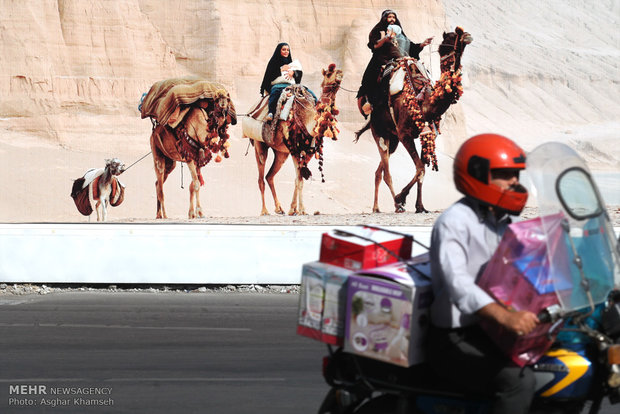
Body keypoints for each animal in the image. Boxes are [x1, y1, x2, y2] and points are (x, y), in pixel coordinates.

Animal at [141, 78, 237, 220]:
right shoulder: (189, 158)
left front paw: (192, 213)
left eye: (228, 98)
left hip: (170, 161)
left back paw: (158, 214)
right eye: (216, 99)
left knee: (158, 183)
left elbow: (193, 185)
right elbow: (196, 184)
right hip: (156, 152)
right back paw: (165, 215)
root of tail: (154, 132)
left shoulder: (198, 159)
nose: (224, 105)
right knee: (160, 185)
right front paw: (199, 212)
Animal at [242, 64, 344, 217]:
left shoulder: (307, 152)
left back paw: (279, 208)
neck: (306, 120)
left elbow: (298, 179)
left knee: (269, 176)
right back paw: (264, 211)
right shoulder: (295, 150)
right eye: (329, 73)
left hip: (281, 153)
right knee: (261, 178)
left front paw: (293, 209)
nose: (340, 73)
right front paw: (302, 210)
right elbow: (300, 180)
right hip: (260, 144)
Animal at [356, 26, 472, 213]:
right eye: (449, 39)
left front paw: (420, 206)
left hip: (393, 139)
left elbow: (422, 170)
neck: (425, 105)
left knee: (379, 171)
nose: (467, 36)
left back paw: (378, 207)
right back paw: (394, 204)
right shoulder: (405, 134)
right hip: (379, 132)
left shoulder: (427, 134)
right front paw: (401, 198)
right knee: (386, 172)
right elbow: (419, 168)